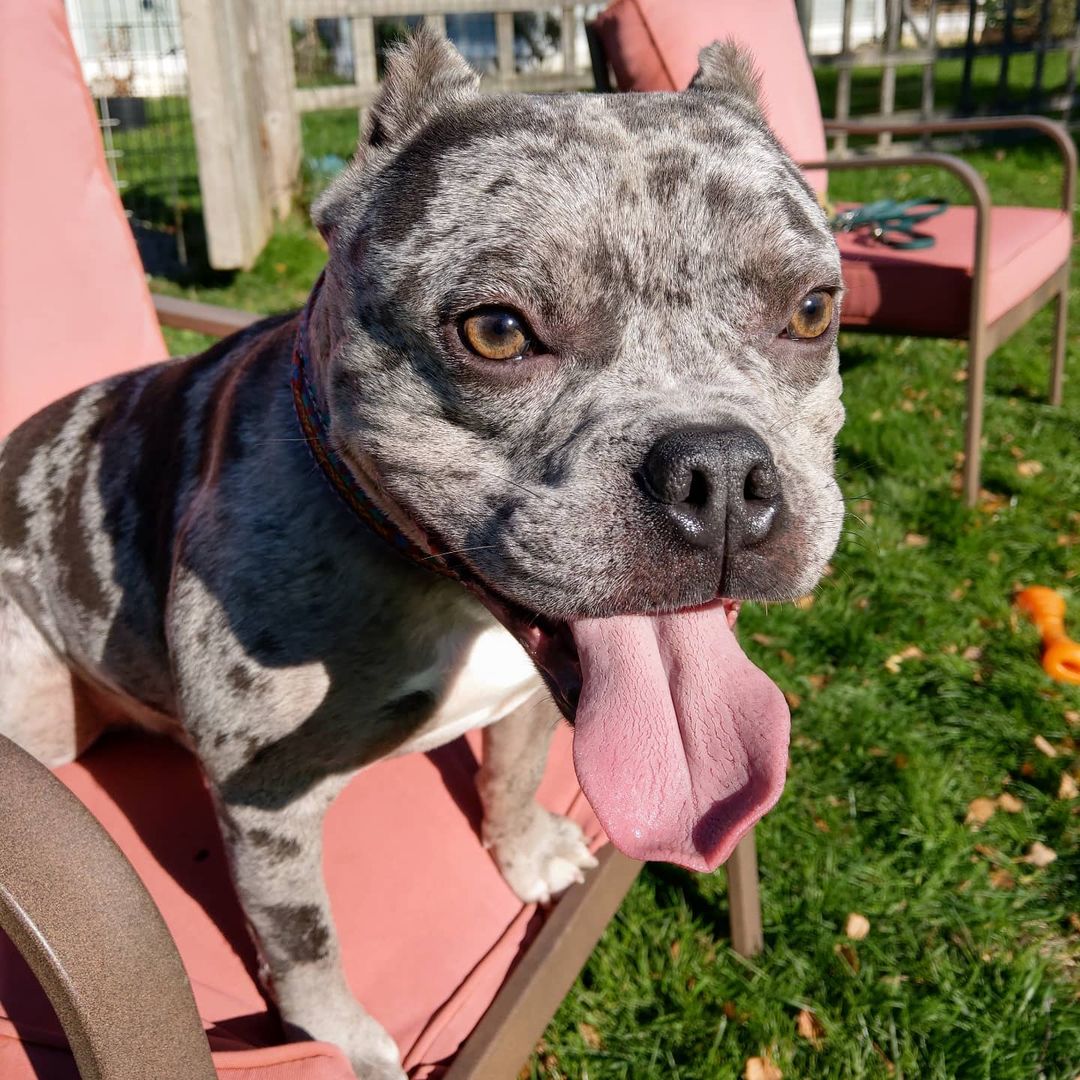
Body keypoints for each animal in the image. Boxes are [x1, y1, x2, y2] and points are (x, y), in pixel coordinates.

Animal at [0, 29, 842, 1075]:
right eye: (496, 330)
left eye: (813, 311)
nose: (719, 474)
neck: (438, 589)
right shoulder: (264, 807)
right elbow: (303, 941)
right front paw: (342, 1038)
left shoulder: (532, 699)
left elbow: (510, 774)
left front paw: (522, 851)